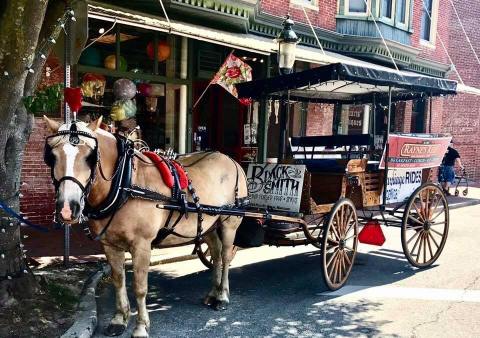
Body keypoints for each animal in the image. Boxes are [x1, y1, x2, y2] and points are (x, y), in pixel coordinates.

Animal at [43, 117, 249, 338]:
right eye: (52, 157)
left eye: (90, 157)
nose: (67, 209)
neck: (124, 183)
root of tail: (231, 160)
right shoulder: (110, 245)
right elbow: (118, 280)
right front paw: (119, 319)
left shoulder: (142, 245)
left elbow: (140, 287)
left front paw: (141, 327)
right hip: (208, 225)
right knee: (216, 254)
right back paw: (213, 293)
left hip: (229, 223)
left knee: (226, 257)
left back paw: (222, 297)